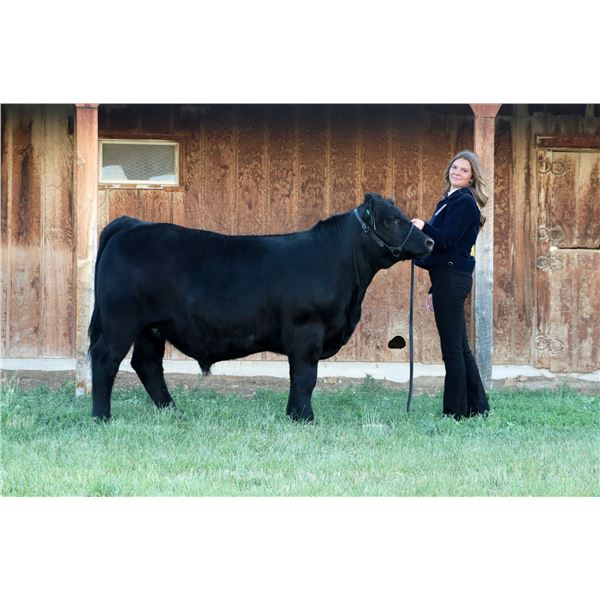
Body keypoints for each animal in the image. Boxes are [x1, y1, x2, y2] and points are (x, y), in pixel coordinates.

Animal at [89, 192, 433, 422]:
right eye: (391, 219)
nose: (429, 242)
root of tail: (133, 223)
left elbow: (301, 377)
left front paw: (294, 414)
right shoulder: (307, 330)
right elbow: (305, 376)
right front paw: (304, 418)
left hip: (151, 327)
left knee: (147, 364)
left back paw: (172, 411)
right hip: (122, 321)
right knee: (106, 358)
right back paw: (102, 416)